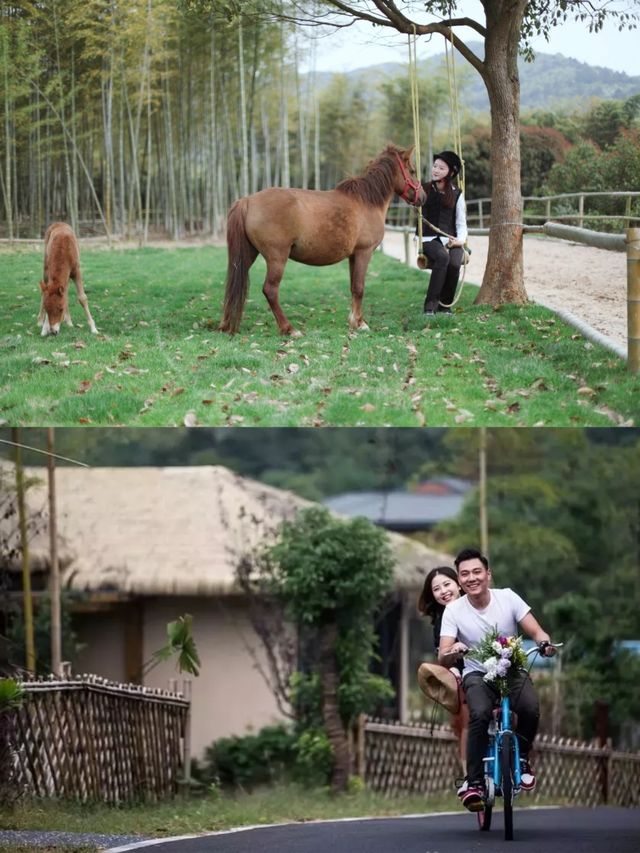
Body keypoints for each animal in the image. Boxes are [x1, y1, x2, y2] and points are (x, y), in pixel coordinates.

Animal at [220, 145, 424, 334]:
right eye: (413, 171)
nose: (423, 197)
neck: (367, 201)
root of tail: (247, 201)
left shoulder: (353, 256)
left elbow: (353, 288)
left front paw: (354, 321)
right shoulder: (363, 252)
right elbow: (360, 287)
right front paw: (360, 324)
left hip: (247, 255)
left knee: (233, 286)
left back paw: (225, 324)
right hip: (277, 258)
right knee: (270, 290)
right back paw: (289, 329)